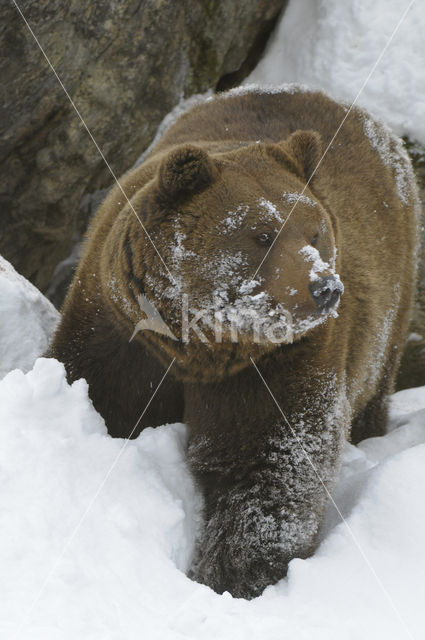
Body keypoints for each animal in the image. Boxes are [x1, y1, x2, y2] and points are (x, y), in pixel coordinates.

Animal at [48, 86, 420, 600]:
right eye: (262, 234)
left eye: (315, 230)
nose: (324, 287)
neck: (197, 347)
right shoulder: (119, 332)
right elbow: (102, 393)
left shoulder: (281, 359)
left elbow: (267, 466)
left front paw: (231, 576)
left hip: (394, 300)